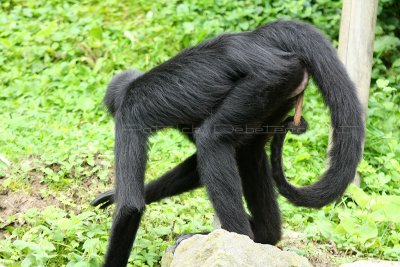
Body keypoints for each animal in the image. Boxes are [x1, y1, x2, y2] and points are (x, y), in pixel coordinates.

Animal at [91, 19, 366, 266]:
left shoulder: (127, 116)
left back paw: (238, 236)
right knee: (247, 152)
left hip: (268, 80)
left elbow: (130, 206)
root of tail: (256, 38)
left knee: (212, 140)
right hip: (280, 92)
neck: (133, 86)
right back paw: (265, 237)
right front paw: (113, 195)